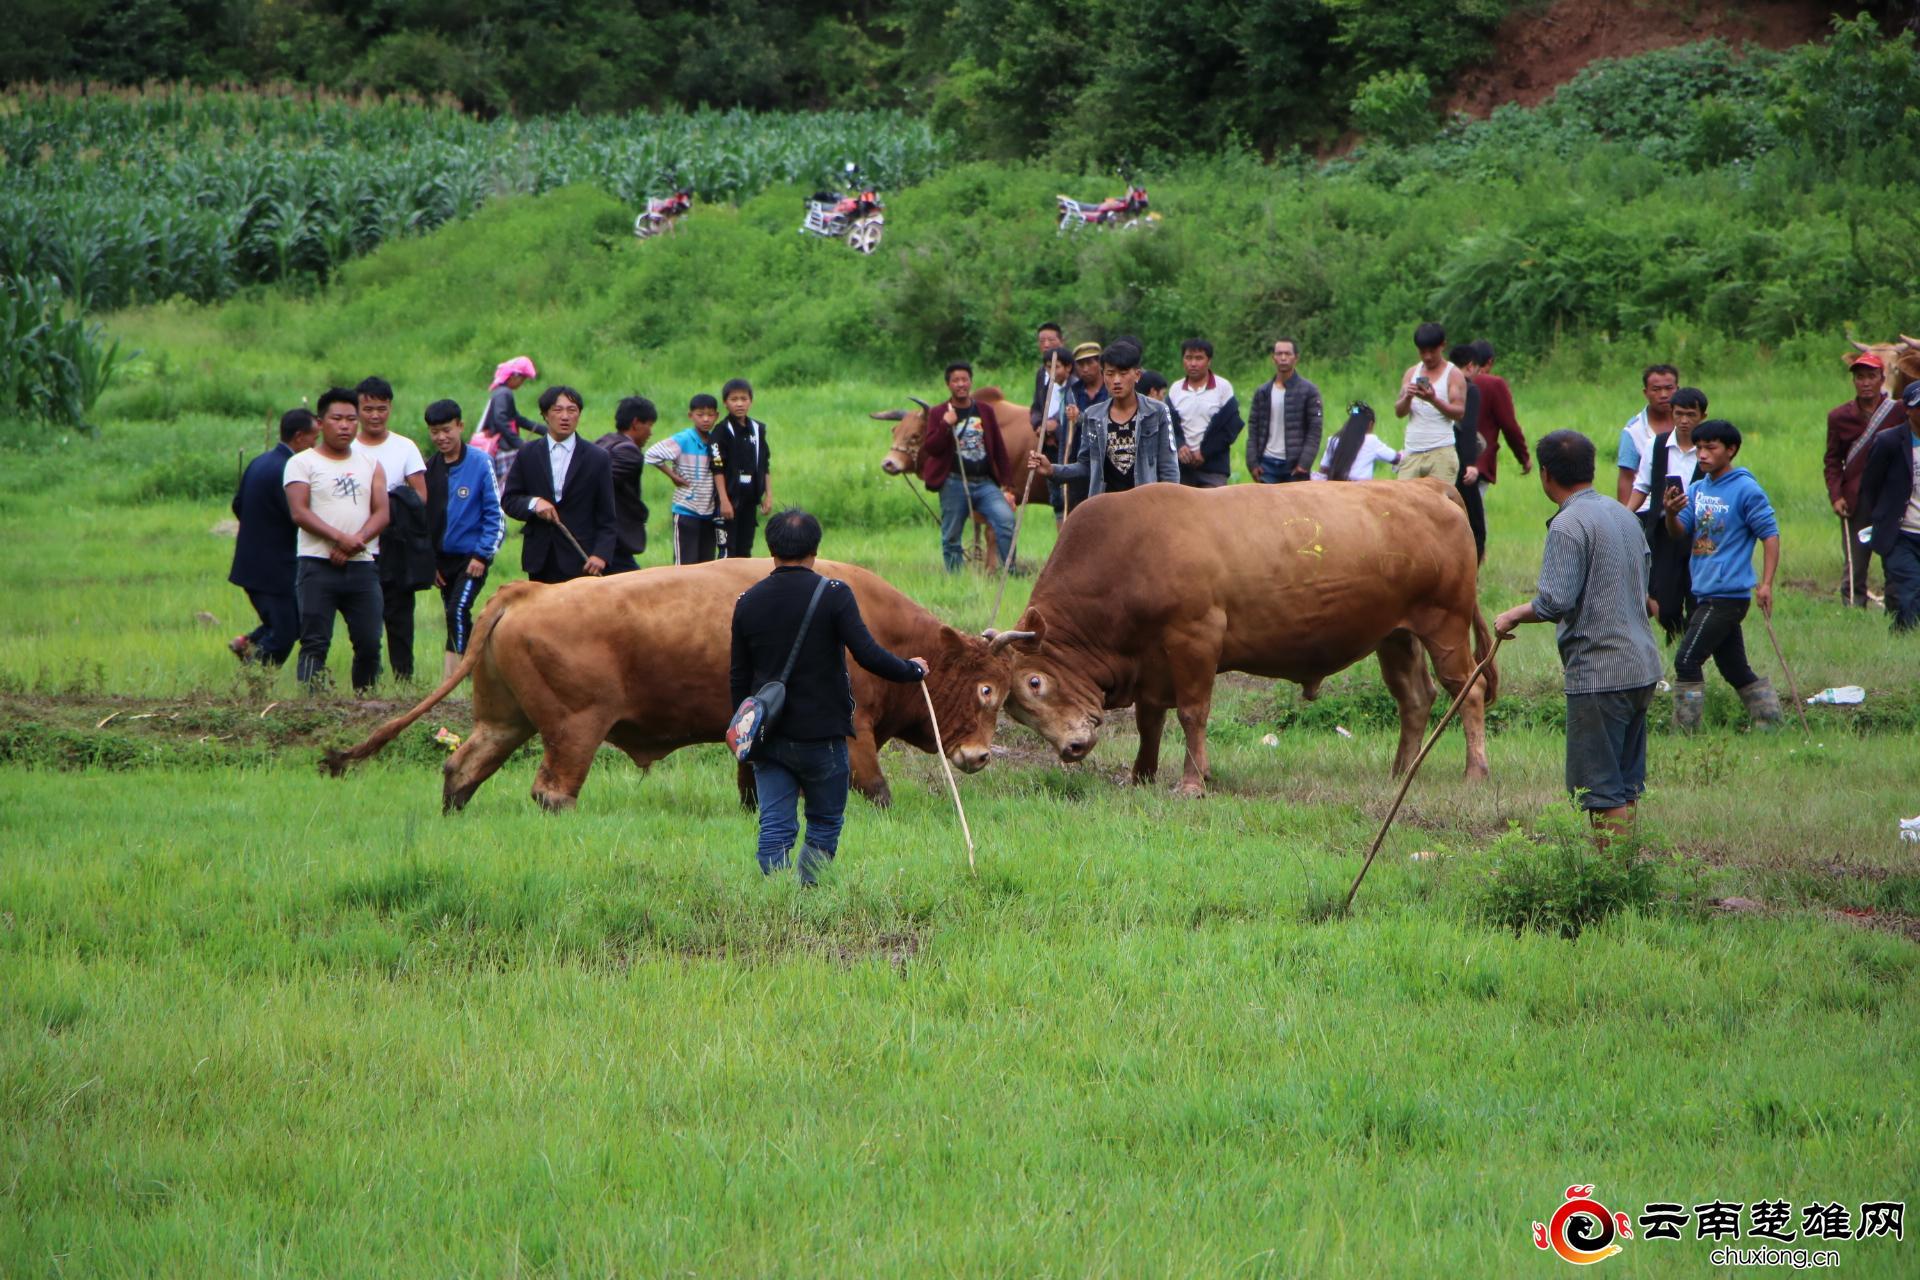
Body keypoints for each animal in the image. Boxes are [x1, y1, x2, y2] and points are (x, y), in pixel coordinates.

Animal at [326, 556, 1021, 809]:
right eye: (987, 690)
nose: (982, 755)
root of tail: (530, 591)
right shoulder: (852, 734)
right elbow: (873, 789)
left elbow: (753, 790)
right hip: (574, 730)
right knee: (552, 790)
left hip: (503, 721)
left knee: (463, 767)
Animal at [990, 483, 1497, 802]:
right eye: (1013, 709)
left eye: (1035, 682)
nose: (1070, 749)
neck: (1127, 556)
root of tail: (1425, 486)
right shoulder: (1151, 666)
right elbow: (1149, 721)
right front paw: (1141, 776)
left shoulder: (1195, 638)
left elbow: (1192, 714)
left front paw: (1193, 783)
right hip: (1395, 636)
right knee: (1415, 699)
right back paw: (1400, 772)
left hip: (1446, 626)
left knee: (1468, 692)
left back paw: (1475, 772)